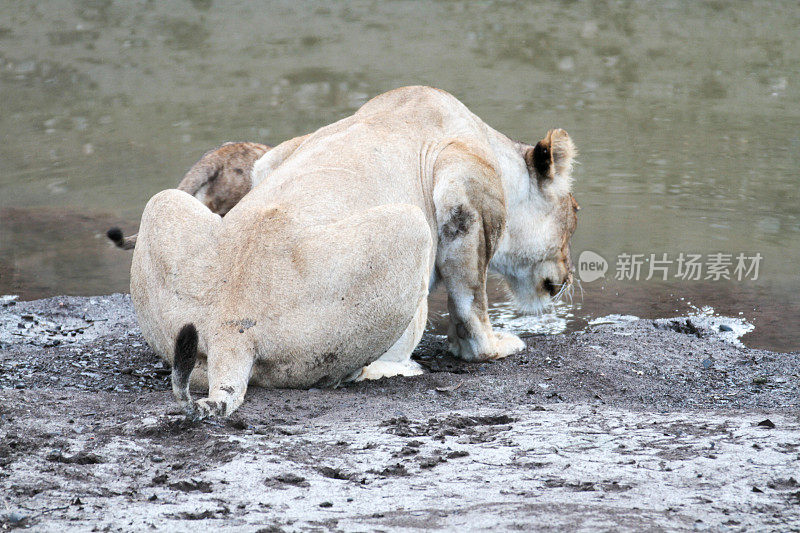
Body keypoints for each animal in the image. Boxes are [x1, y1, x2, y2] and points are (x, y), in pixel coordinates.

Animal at [134, 85, 580, 416]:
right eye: (575, 212)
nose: (566, 277)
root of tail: (230, 329)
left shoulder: (277, 157)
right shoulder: (465, 190)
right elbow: (473, 307)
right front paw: (494, 345)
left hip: (160, 204)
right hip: (412, 227)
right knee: (345, 374)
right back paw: (398, 368)